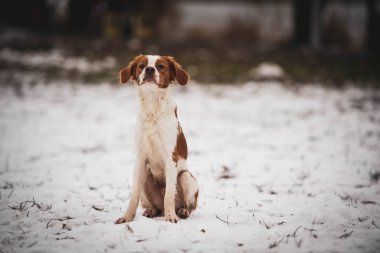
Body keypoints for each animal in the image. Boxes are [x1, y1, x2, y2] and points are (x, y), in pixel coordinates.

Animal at [115, 53, 199, 223]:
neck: (153, 107)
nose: (149, 69)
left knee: (185, 205)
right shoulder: (140, 158)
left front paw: (171, 217)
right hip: (147, 176)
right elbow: (134, 195)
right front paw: (127, 217)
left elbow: (169, 196)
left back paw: (181, 211)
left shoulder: (170, 157)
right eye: (141, 65)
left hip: (186, 177)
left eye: (161, 66)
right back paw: (151, 211)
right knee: (155, 206)